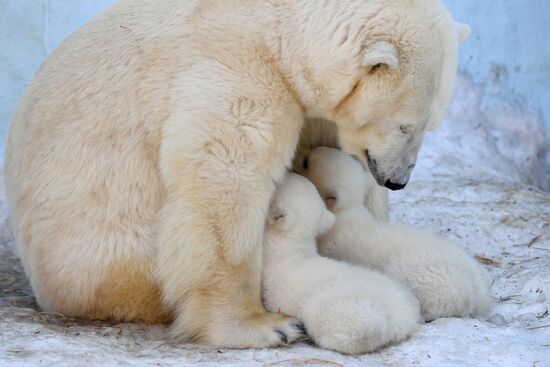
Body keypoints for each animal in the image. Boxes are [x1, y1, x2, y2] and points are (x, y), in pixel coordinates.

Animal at [298, 147, 496, 322]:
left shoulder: (334, 241)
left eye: (306, 162)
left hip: (432, 279)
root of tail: (479, 296)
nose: (301, 152)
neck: (347, 213)